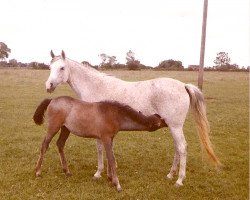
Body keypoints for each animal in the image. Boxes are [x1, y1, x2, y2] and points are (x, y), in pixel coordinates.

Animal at [32, 96, 166, 191]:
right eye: (160, 121)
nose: (167, 122)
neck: (114, 114)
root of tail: (52, 100)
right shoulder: (105, 138)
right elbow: (111, 159)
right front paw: (117, 184)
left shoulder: (110, 139)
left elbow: (110, 157)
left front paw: (111, 178)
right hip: (53, 127)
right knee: (44, 145)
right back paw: (38, 171)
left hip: (65, 129)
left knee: (60, 144)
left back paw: (66, 171)